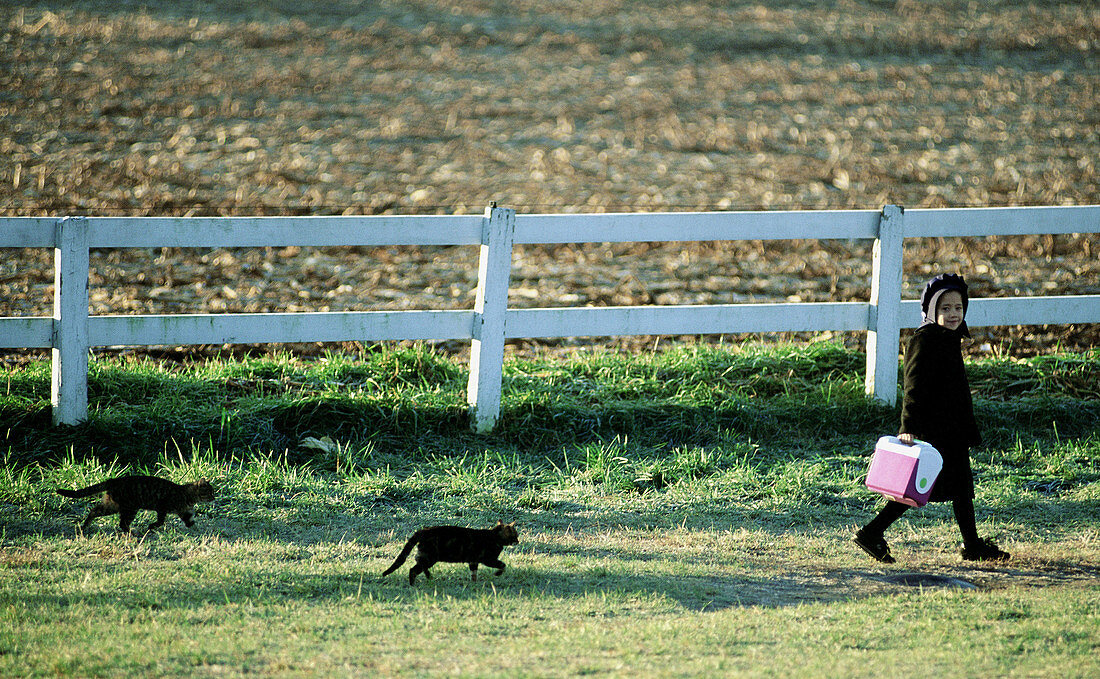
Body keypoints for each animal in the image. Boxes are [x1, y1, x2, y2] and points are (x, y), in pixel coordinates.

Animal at [56, 473, 216, 532]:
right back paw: (132, 533)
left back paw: (84, 526)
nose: (214, 498)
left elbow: (189, 520)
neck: (188, 495)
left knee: (95, 511)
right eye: (210, 492)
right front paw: (151, 526)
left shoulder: (185, 511)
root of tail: (113, 480)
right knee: (122, 523)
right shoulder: (162, 508)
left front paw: (194, 526)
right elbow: (160, 521)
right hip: (129, 508)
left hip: (112, 505)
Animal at [382, 519, 519, 581]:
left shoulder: (473, 561)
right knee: (415, 567)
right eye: (516, 535)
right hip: (430, 556)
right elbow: (503, 565)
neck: (494, 536)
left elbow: (473, 574)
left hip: (427, 555)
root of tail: (424, 530)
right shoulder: (488, 559)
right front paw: (497, 574)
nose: (518, 541)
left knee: (416, 566)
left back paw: (425, 578)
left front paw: (474, 583)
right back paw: (421, 580)